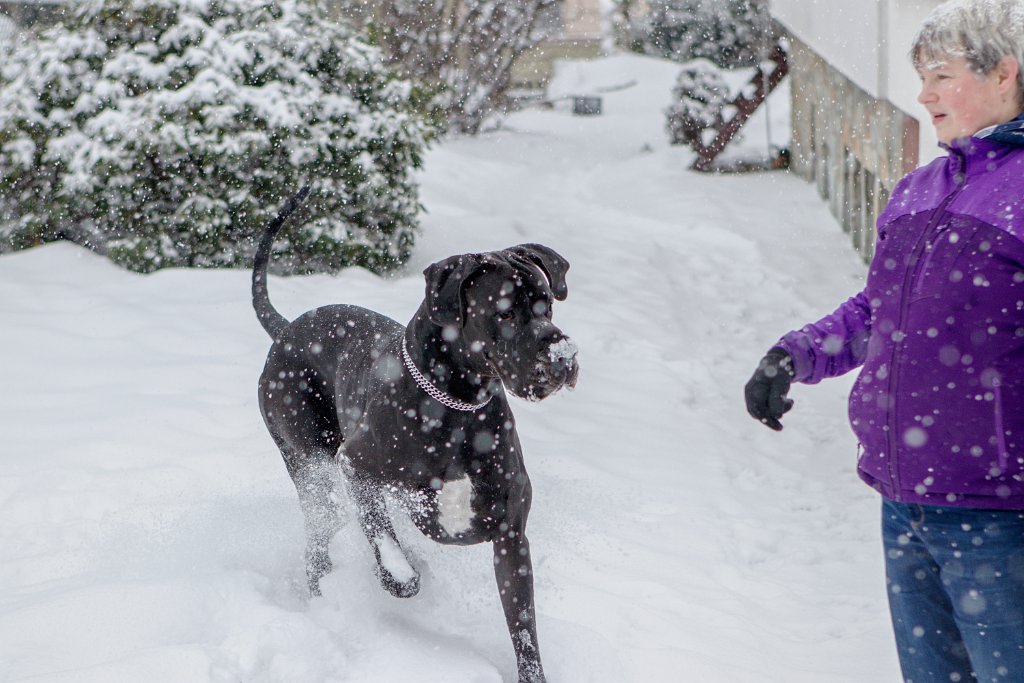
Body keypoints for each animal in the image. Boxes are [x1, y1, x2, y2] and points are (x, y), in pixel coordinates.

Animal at [252, 188, 581, 683]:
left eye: (547, 303)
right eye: (504, 311)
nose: (564, 357)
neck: (458, 409)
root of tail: (286, 328)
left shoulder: (510, 535)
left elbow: (523, 627)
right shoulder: (356, 466)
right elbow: (380, 530)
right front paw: (399, 574)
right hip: (312, 469)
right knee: (319, 540)